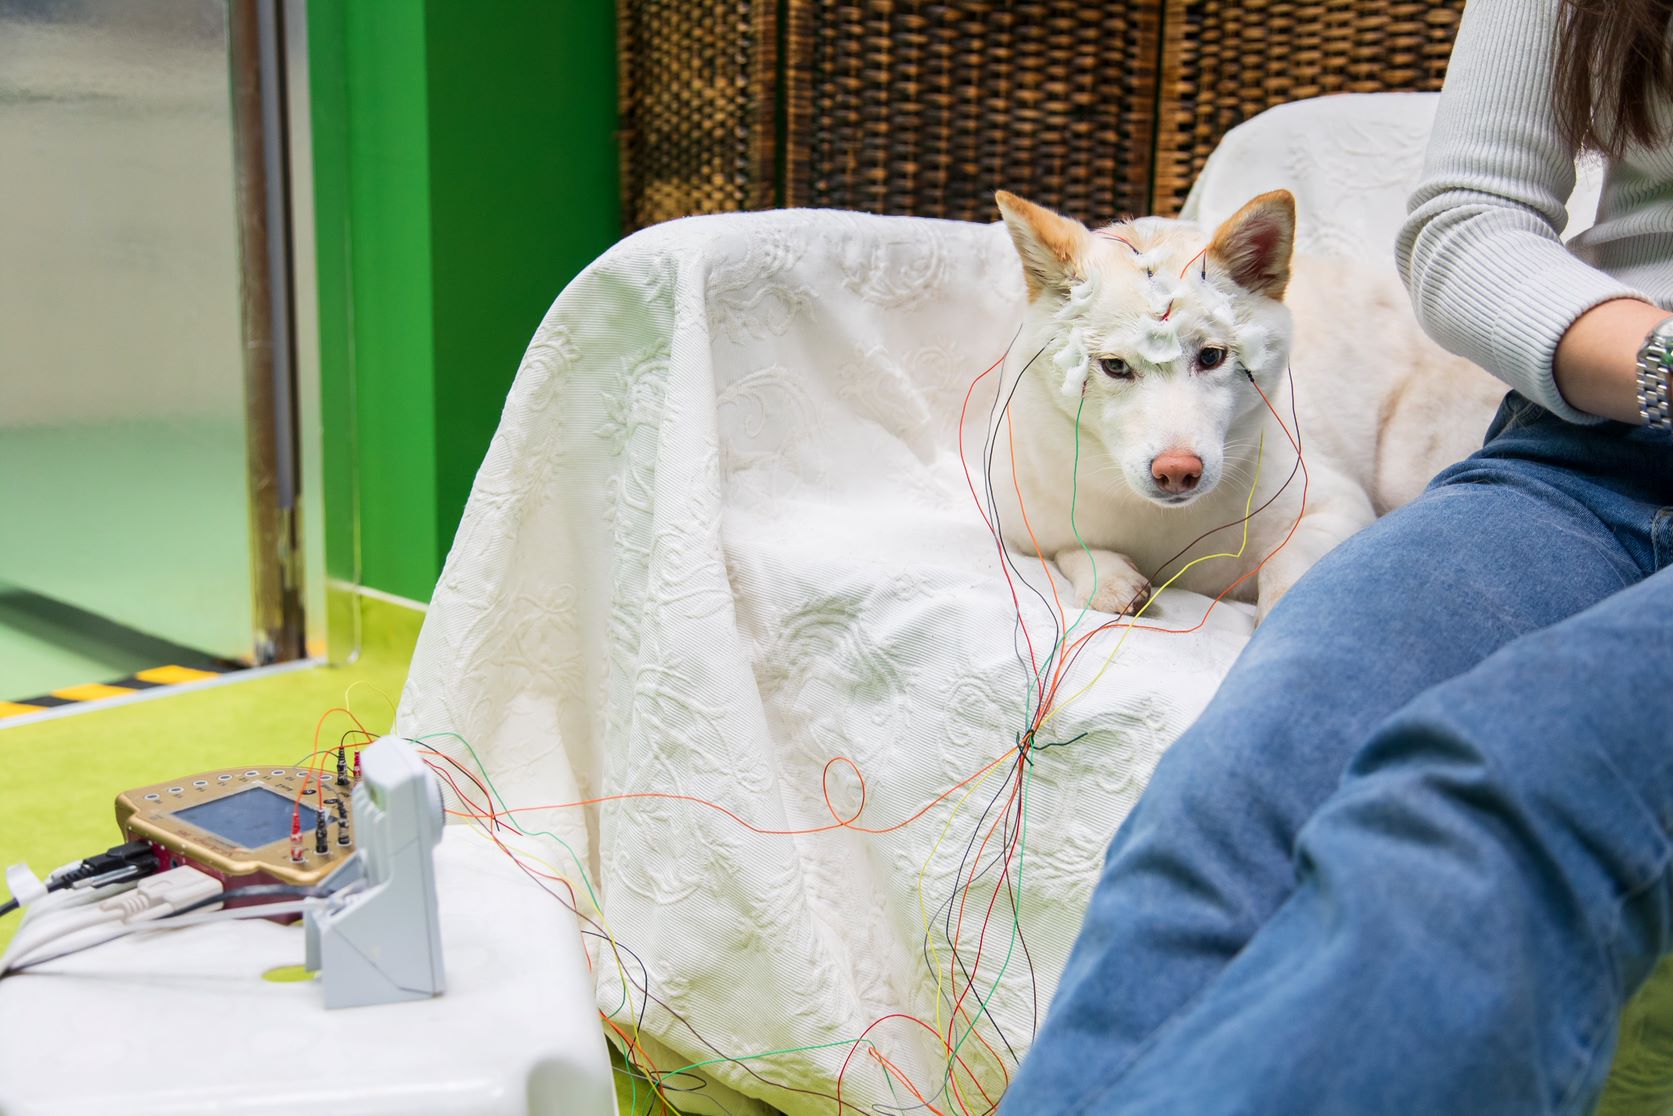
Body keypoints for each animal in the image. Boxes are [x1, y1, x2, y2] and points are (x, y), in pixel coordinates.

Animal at [990, 189, 1505, 619]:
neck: (1165, 529)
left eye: (1211, 357)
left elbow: (1285, 563)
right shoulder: (1027, 528)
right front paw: (1110, 577)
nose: (1177, 471)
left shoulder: (1339, 508)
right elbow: (1071, 550)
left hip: (1401, 469)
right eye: (1115, 366)